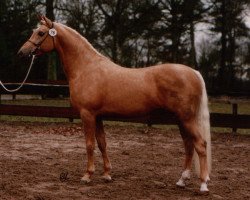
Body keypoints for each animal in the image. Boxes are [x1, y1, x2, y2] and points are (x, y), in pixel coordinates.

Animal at [18, 16, 212, 192]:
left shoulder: (87, 114)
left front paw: (87, 175)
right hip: (181, 120)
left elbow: (89, 144)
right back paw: (182, 180)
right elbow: (102, 143)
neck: (86, 68)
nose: (22, 52)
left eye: (41, 33)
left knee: (200, 145)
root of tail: (194, 73)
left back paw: (203, 184)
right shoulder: (98, 116)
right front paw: (106, 174)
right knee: (188, 146)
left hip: (187, 119)